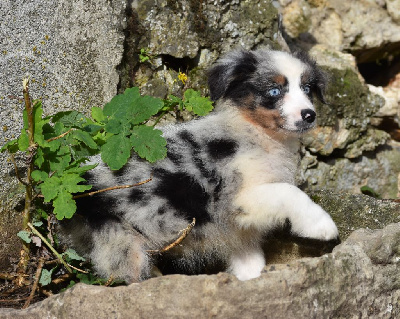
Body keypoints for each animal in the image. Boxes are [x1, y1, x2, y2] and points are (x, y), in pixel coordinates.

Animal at [61, 47, 340, 282]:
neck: (259, 135)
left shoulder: (238, 230)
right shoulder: (235, 200)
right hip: (123, 242)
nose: (309, 115)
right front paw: (321, 225)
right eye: (274, 91)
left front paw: (251, 279)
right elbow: (290, 192)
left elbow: (249, 260)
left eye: (307, 89)